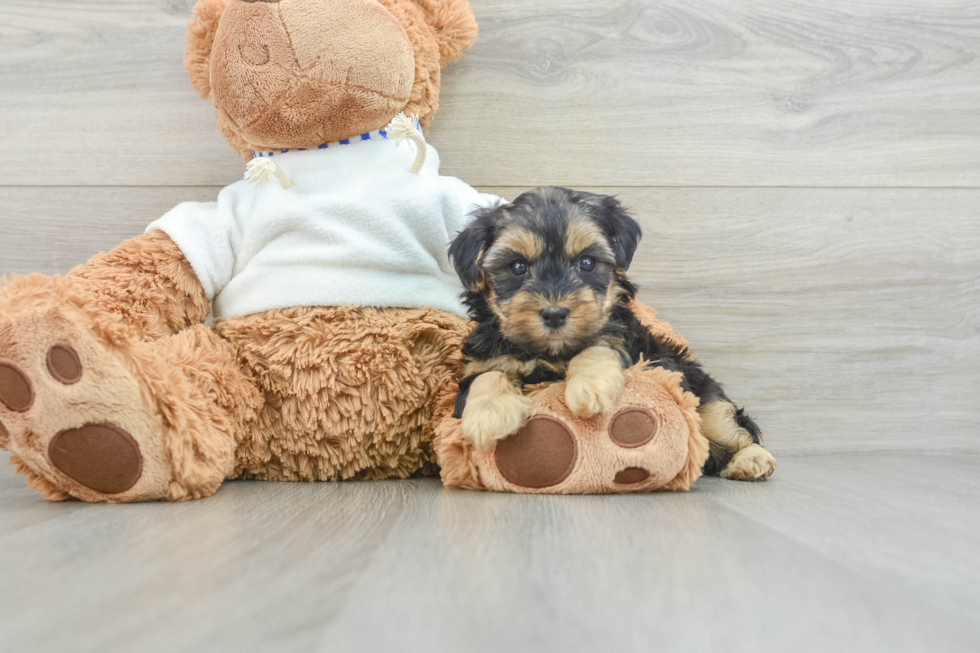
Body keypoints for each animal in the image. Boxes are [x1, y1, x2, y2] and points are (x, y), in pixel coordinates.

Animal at [448, 186, 776, 482]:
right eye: (517, 266)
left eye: (587, 262)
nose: (554, 313)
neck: (548, 352)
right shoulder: (481, 361)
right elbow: (487, 375)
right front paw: (488, 416)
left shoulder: (629, 346)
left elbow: (599, 345)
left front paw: (590, 387)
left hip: (703, 392)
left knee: (724, 427)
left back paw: (751, 459)